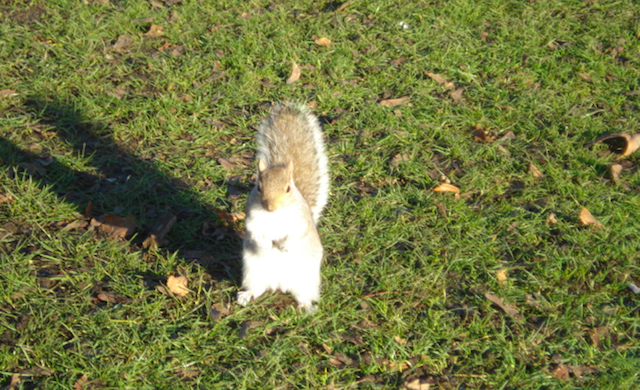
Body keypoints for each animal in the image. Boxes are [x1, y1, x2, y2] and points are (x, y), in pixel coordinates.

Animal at [239, 103, 332, 310]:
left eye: (288, 189)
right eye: (258, 187)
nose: (271, 207)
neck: (276, 215)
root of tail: (279, 285)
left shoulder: (301, 221)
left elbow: (297, 233)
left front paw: (284, 246)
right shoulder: (252, 220)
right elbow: (254, 233)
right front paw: (266, 245)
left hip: (306, 280)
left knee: (302, 296)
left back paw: (307, 307)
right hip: (254, 273)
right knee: (257, 289)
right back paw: (245, 296)